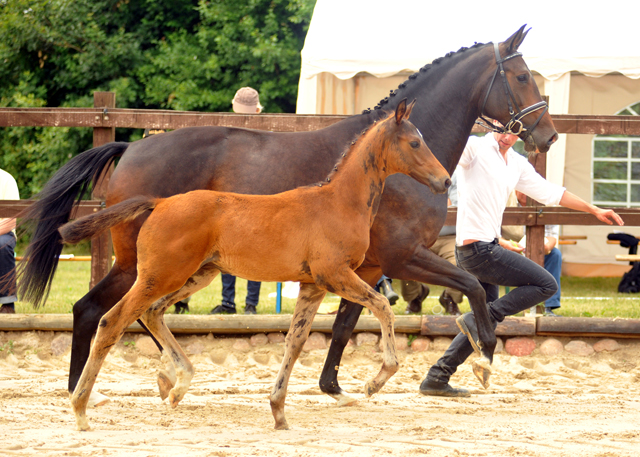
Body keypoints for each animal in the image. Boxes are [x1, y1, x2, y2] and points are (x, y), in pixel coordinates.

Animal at [60, 98, 450, 430]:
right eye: (415, 143)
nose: (444, 179)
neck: (339, 202)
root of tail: (160, 202)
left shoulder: (312, 285)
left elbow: (295, 341)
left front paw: (278, 410)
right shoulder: (336, 275)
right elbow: (383, 305)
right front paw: (375, 380)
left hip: (196, 275)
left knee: (153, 312)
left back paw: (178, 384)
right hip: (159, 275)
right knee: (112, 320)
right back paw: (81, 409)